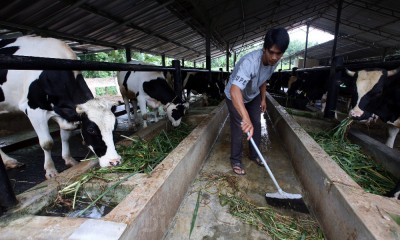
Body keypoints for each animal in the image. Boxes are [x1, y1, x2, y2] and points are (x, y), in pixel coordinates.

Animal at [0, 35, 122, 178]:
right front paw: (50, 170)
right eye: (91, 129)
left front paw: (69, 160)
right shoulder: (34, 110)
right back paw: (9, 161)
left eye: (115, 126)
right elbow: (47, 143)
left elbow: (65, 136)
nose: (114, 161)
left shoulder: (66, 114)